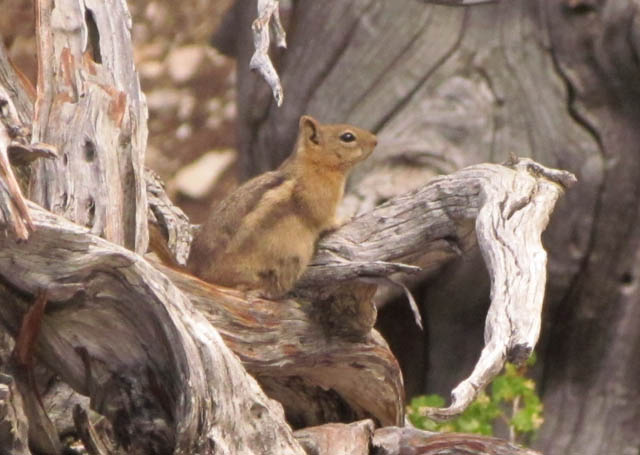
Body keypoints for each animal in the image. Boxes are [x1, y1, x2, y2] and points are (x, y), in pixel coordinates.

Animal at [186, 114, 376, 300]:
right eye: (348, 137)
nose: (375, 140)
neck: (314, 166)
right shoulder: (322, 205)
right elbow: (327, 220)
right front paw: (347, 218)